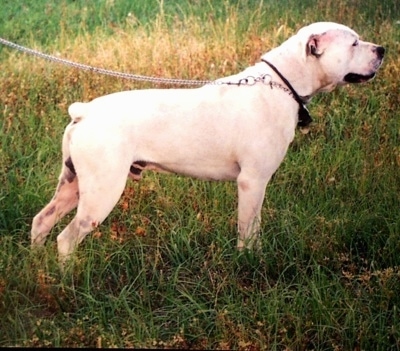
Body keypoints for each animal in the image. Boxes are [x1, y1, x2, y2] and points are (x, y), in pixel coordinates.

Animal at [31, 21, 384, 264]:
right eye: (354, 43)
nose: (381, 50)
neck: (281, 83)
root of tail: (84, 112)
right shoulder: (252, 182)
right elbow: (249, 231)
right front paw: (250, 262)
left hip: (73, 186)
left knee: (41, 221)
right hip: (101, 193)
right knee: (66, 238)